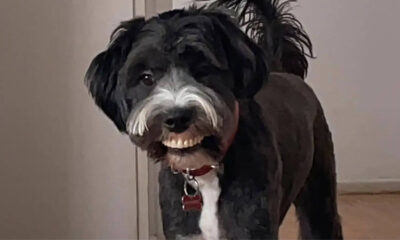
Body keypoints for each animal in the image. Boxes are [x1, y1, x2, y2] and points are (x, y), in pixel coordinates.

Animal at [83, 0, 340, 239]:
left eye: (203, 69)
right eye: (146, 77)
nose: (176, 118)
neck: (205, 172)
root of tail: (280, 70)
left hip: (320, 198)